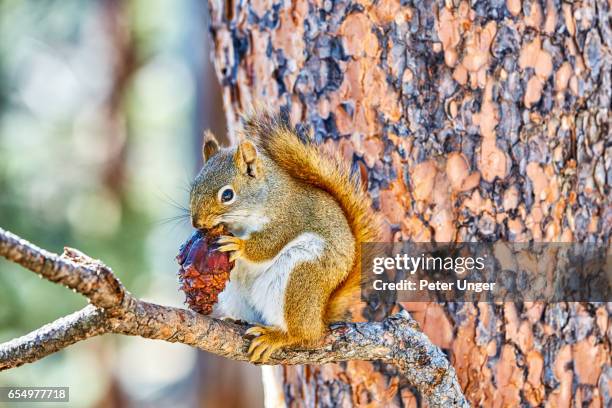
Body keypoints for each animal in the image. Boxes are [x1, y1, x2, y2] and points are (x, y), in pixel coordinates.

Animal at [190, 111, 378, 364]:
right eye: (193, 187)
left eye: (227, 195)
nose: (197, 223)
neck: (267, 195)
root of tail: (320, 317)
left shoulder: (289, 218)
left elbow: (270, 243)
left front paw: (238, 245)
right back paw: (237, 320)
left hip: (300, 276)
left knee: (304, 335)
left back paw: (277, 337)